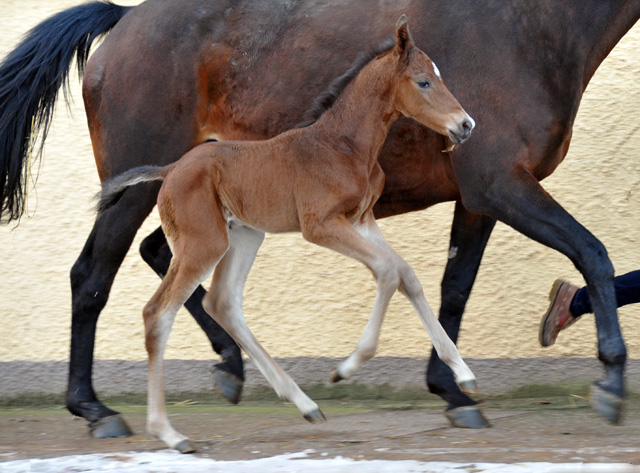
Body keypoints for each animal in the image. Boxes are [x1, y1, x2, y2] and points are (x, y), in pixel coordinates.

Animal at [100, 16, 476, 452]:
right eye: (424, 82)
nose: (466, 125)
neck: (344, 145)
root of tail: (169, 170)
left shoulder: (362, 220)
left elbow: (407, 274)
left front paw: (463, 373)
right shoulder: (321, 224)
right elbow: (387, 270)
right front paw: (345, 369)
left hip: (244, 236)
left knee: (221, 302)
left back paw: (304, 404)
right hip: (203, 244)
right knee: (158, 313)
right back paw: (169, 433)